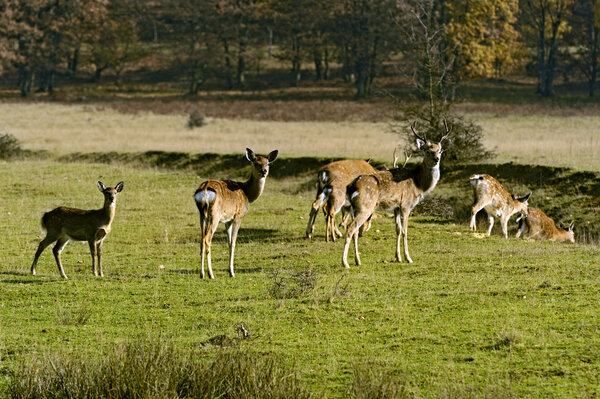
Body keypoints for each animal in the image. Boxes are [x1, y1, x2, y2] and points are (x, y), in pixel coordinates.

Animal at [195, 148, 278, 280]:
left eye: (268, 163)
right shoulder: (238, 216)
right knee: (207, 239)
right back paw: (211, 274)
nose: (264, 171)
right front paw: (232, 272)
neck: (247, 193)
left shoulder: (227, 220)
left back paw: (202, 274)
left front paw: (230, 271)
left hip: (202, 215)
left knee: (202, 240)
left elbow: (229, 243)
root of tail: (204, 189)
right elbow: (233, 242)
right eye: (256, 163)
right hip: (214, 215)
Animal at [342, 120, 450, 268]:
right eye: (428, 151)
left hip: (355, 208)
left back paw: (358, 261)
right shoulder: (406, 205)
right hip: (365, 206)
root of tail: (351, 186)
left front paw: (398, 257)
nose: (436, 159)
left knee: (355, 230)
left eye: (439, 150)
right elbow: (405, 231)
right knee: (350, 228)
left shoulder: (396, 207)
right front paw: (408, 258)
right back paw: (345, 263)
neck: (418, 183)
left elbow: (398, 230)